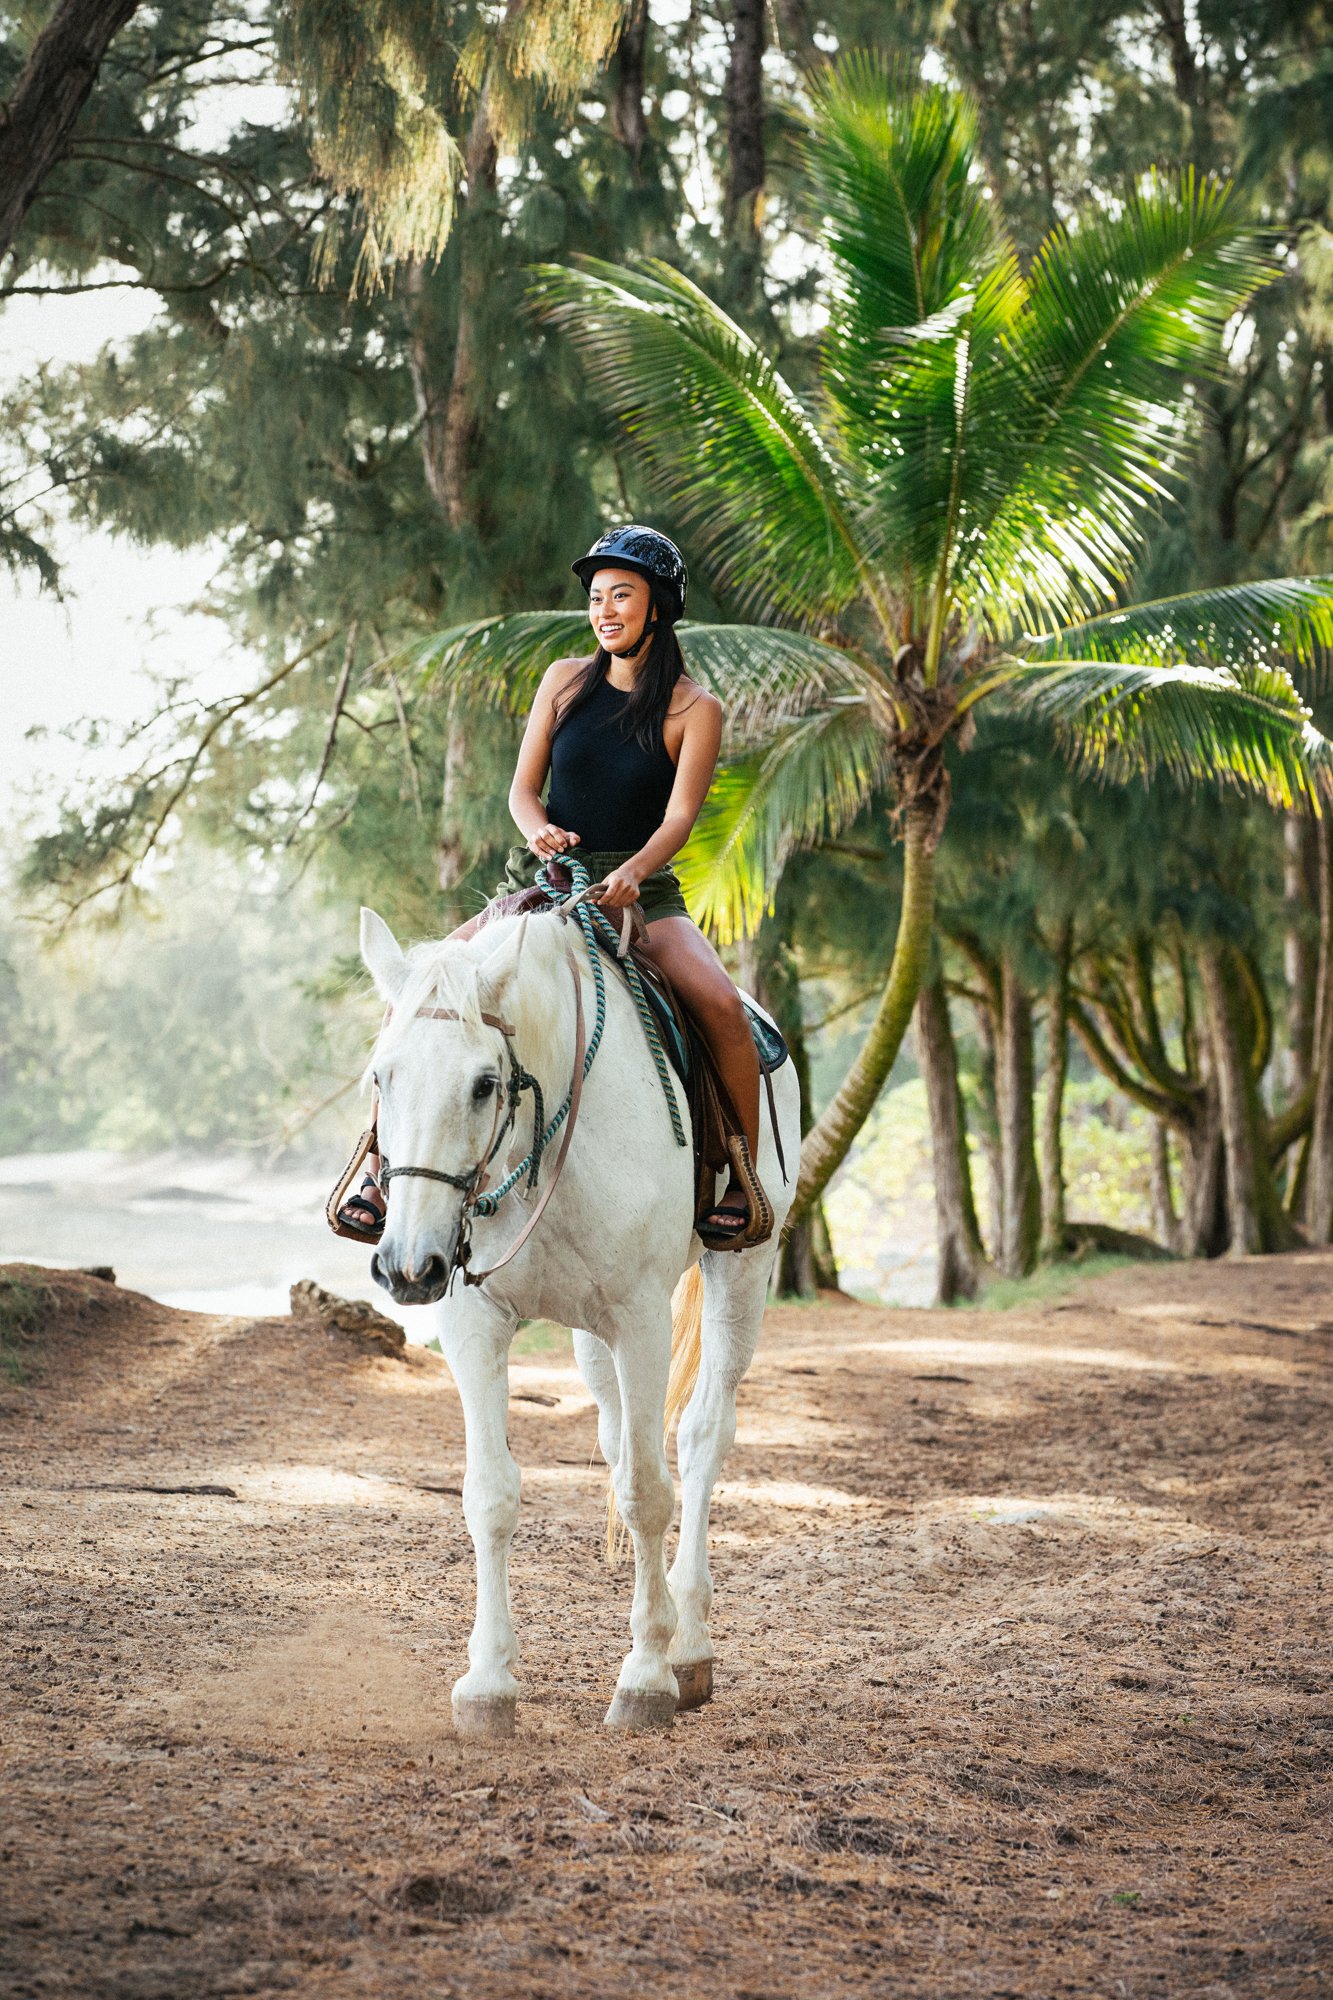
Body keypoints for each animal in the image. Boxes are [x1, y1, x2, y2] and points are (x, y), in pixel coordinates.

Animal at [356, 908, 800, 1736]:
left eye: (484, 1083)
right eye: (380, 1076)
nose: (407, 1266)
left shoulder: (640, 1318)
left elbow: (649, 1493)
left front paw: (646, 1676)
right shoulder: (474, 1321)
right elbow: (491, 1494)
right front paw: (488, 1682)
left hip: (741, 1271)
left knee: (698, 1439)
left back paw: (689, 1644)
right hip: (590, 1338)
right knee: (621, 1441)